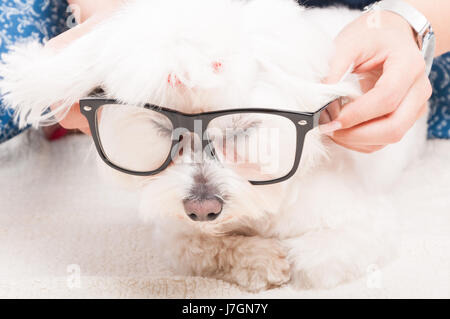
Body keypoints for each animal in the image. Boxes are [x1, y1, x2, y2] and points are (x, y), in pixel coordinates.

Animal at [0, 0, 428, 292]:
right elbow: (202, 247)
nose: (203, 208)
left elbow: (313, 257)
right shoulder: (174, 230)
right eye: (163, 129)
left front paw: (284, 256)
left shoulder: (364, 224)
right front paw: (258, 259)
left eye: (240, 130)